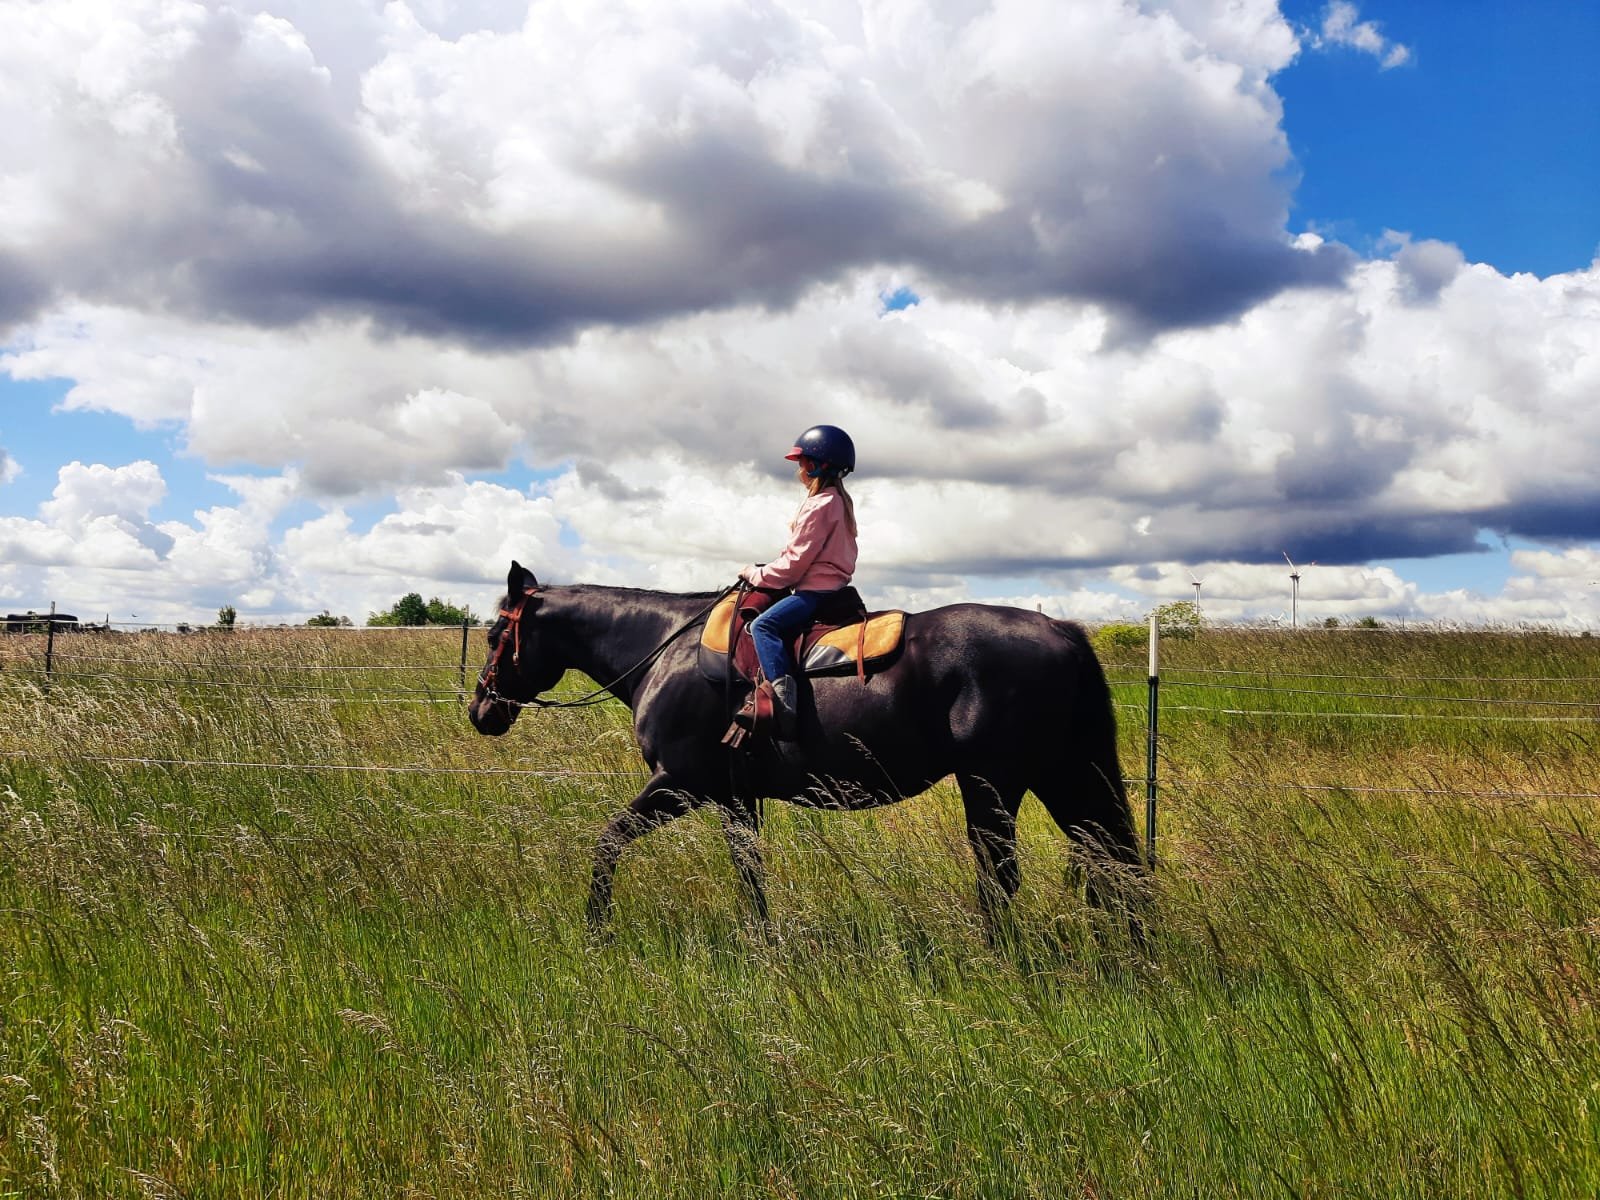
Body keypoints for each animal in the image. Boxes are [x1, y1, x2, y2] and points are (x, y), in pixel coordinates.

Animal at [468, 561, 1146, 937]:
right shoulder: (735, 798)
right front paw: (765, 943)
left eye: (499, 631)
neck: (664, 648)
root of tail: (1060, 629)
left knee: (1001, 876)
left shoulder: (681, 783)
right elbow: (749, 872)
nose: (480, 711)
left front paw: (596, 930)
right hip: (1065, 777)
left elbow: (607, 843)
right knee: (1116, 867)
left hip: (995, 785)